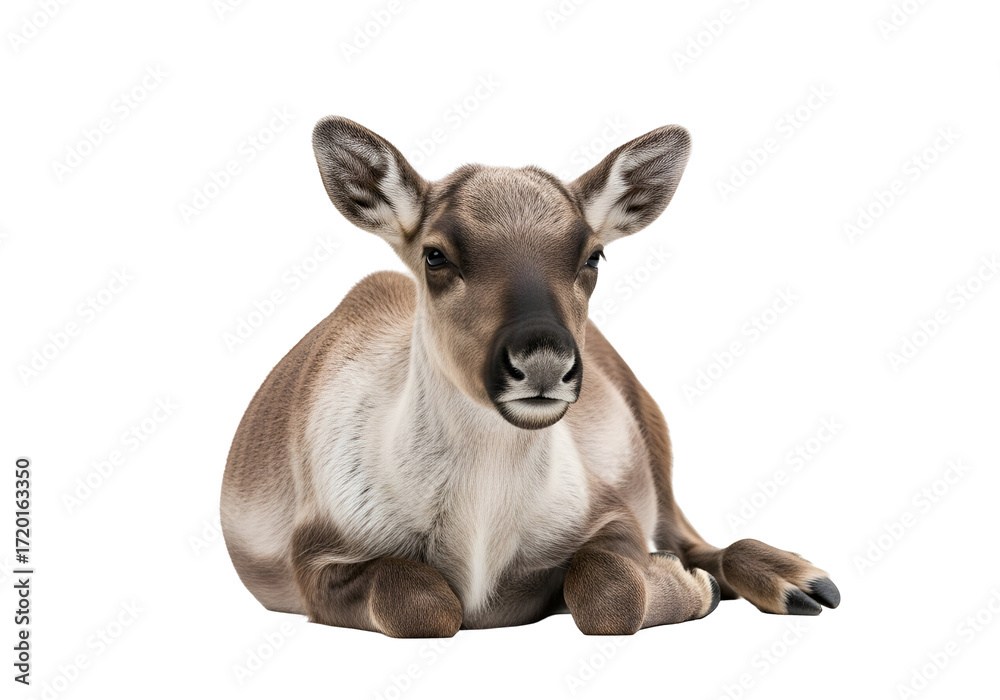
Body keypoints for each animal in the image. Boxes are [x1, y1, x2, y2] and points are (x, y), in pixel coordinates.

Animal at [220, 116, 841, 637]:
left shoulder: (610, 511)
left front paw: (688, 586)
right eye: (436, 254)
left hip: (655, 437)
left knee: (693, 537)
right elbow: (419, 600)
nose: (543, 361)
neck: (478, 538)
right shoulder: (315, 557)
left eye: (593, 256)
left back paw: (801, 583)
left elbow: (610, 588)